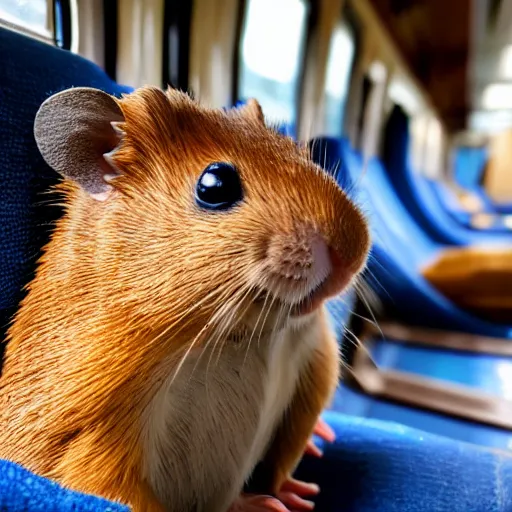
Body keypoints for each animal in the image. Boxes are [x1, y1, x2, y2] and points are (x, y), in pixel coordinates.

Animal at [0, 87, 370, 512]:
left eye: (299, 151)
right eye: (215, 185)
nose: (352, 251)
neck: (236, 336)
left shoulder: (315, 363)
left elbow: (288, 451)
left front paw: (293, 492)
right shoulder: (88, 442)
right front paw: (262, 503)